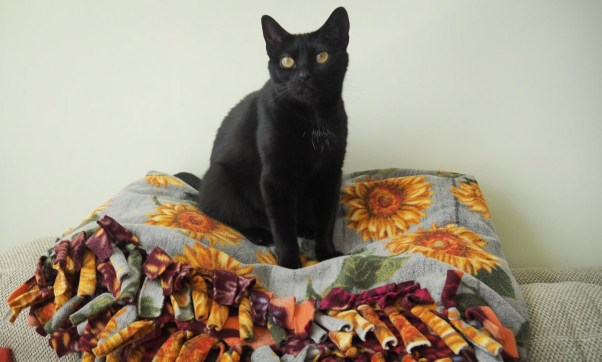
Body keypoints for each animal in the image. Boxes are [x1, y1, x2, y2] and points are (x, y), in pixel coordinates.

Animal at [176, 7, 346, 268]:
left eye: (322, 57)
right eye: (287, 61)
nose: (304, 76)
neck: (313, 120)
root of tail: (202, 183)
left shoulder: (330, 174)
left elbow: (326, 221)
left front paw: (327, 253)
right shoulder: (274, 179)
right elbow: (283, 227)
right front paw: (289, 264)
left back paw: (305, 228)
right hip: (219, 178)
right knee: (233, 218)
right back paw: (259, 234)